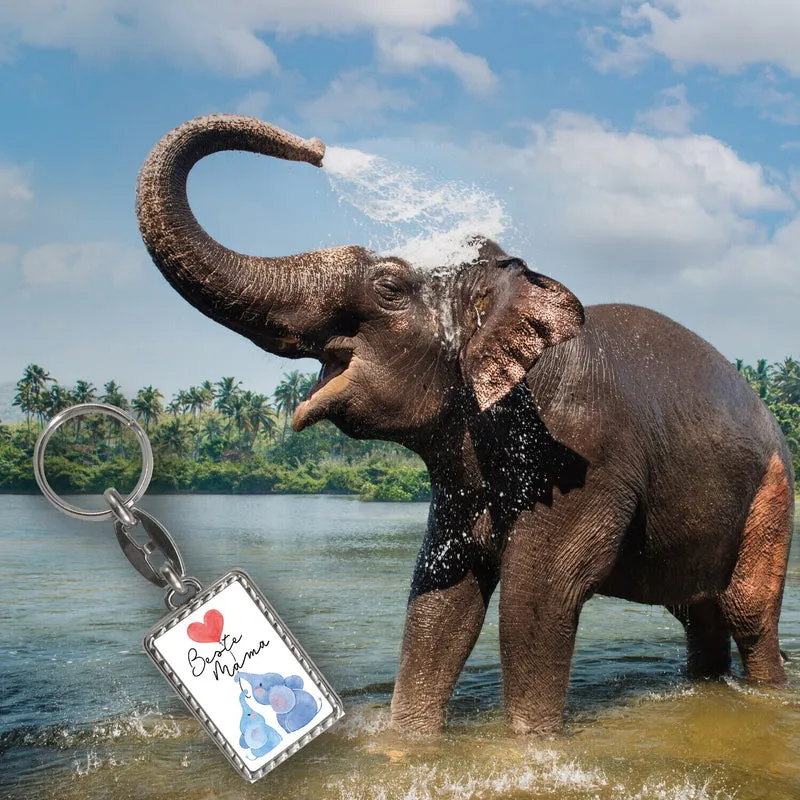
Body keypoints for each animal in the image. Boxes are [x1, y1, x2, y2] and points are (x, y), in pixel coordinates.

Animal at [136, 114, 794, 736]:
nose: (317, 147)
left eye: (388, 286)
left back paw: (766, 689)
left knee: (746, 612)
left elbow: (539, 595)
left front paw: (528, 744)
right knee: (697, 611)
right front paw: (406, 742)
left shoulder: (584, 452)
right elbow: (441, 596)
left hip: (774, 491)